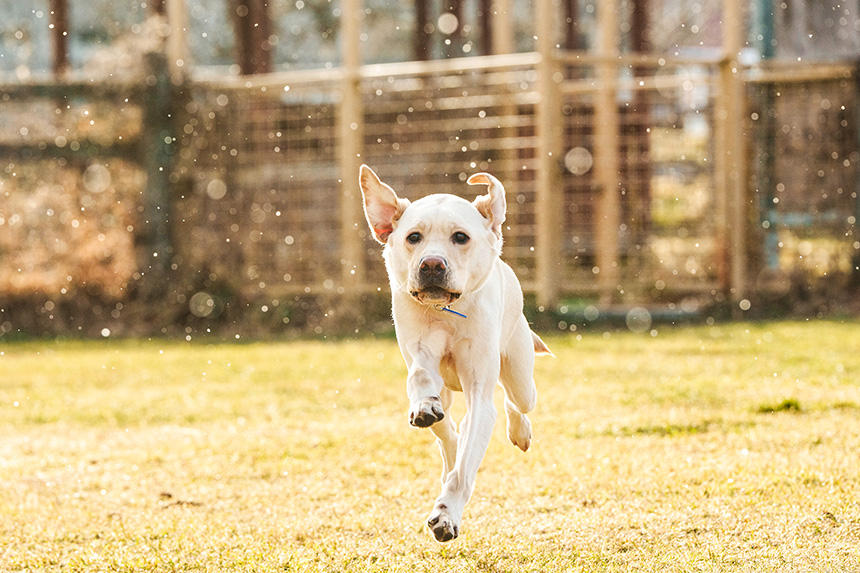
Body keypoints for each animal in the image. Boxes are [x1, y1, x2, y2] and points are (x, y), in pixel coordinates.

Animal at [358, 163, 552, 540]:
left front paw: (446, 514)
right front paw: (425, 407)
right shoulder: (420, 352)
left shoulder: (480, 395)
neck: (447, 313)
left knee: (516, 400)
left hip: (521, 376)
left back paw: (519, 431)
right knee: (448, 429)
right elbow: (422, 379)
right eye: (413, 237)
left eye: (460, 237)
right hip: (451, 391)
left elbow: (465, 466)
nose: (432, 265)